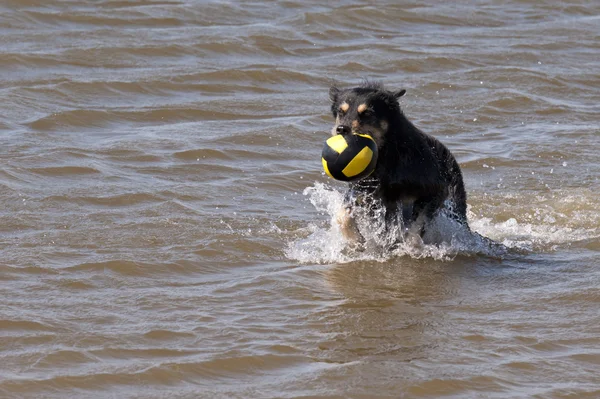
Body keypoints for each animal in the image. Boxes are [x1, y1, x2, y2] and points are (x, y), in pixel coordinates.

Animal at [328, 81, 468, 245]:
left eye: (367, 113)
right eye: (341, 112)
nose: (341, 129)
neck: (385, 156)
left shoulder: (435, 190)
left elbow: (416, 226)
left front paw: (410, 245)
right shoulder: (363, 193)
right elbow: (342, 215)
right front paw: (355, 240)